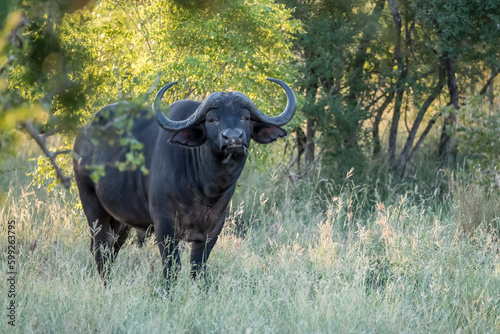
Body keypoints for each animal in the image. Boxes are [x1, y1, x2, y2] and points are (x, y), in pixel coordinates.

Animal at [72, 77, 294, 282]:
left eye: (245, 117)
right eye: (211, 119)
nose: (233, 138)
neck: (205, 189)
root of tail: (82, 138)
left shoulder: (213, 229)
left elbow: (198, 269)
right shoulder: (164, 224)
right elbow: (172, 268)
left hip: (121, 221)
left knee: (111, 250)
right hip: (93, 207)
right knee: (99, 249)